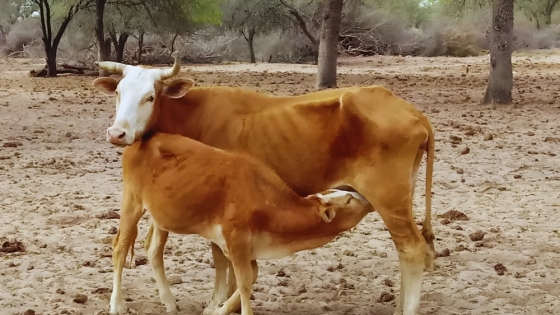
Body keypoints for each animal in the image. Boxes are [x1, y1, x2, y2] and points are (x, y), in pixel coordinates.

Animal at [110, 132, 376, 315]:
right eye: (349, 200)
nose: (367, 198)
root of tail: (141, 141)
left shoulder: (245, 247)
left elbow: (251, 276)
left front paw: (218, 309)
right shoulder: (236, 239)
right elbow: (245, 281)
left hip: (160, 216)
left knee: (154, 250)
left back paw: (168, 301)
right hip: (132, 202)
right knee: (120, 248)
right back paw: (117, 304)